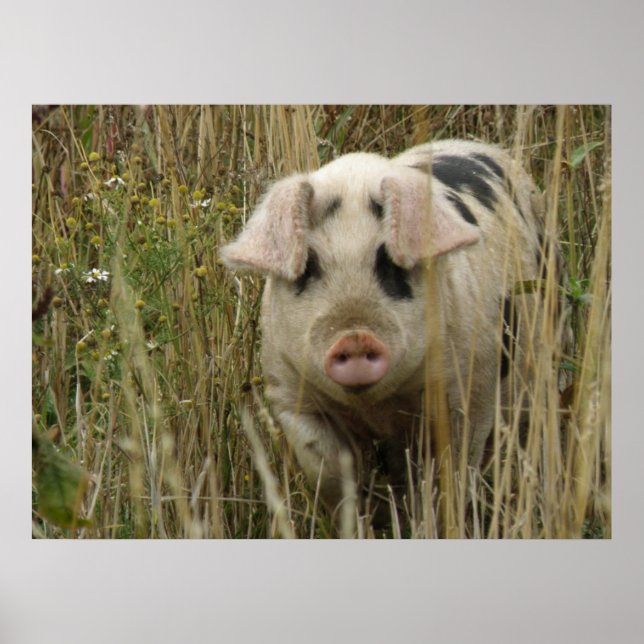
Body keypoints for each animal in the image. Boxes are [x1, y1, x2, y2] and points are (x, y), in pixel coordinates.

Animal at [222, 139, 557, 517]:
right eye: (308, 266)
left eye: (390, 264)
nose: (355, 337)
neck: (378, 407)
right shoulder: (290, 392)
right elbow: (326, 467)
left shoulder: (472, 387)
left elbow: (454, 468)